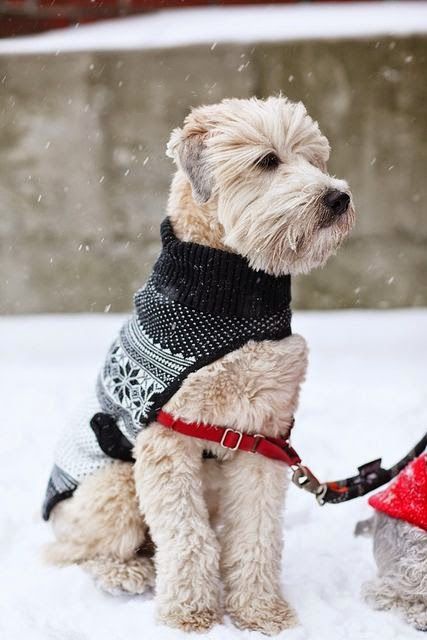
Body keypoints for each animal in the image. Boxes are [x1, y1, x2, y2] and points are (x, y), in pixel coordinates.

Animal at [44, 95, 354, 636]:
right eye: (268, 160)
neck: (235, 297)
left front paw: (260, 611)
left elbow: (256, 533)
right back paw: (126, 573)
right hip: (113, 487)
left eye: (314, 159)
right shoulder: (169, 438)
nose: (338, 198)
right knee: (76, 552)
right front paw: (188, 612)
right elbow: (187, 537)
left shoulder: (262, 436)